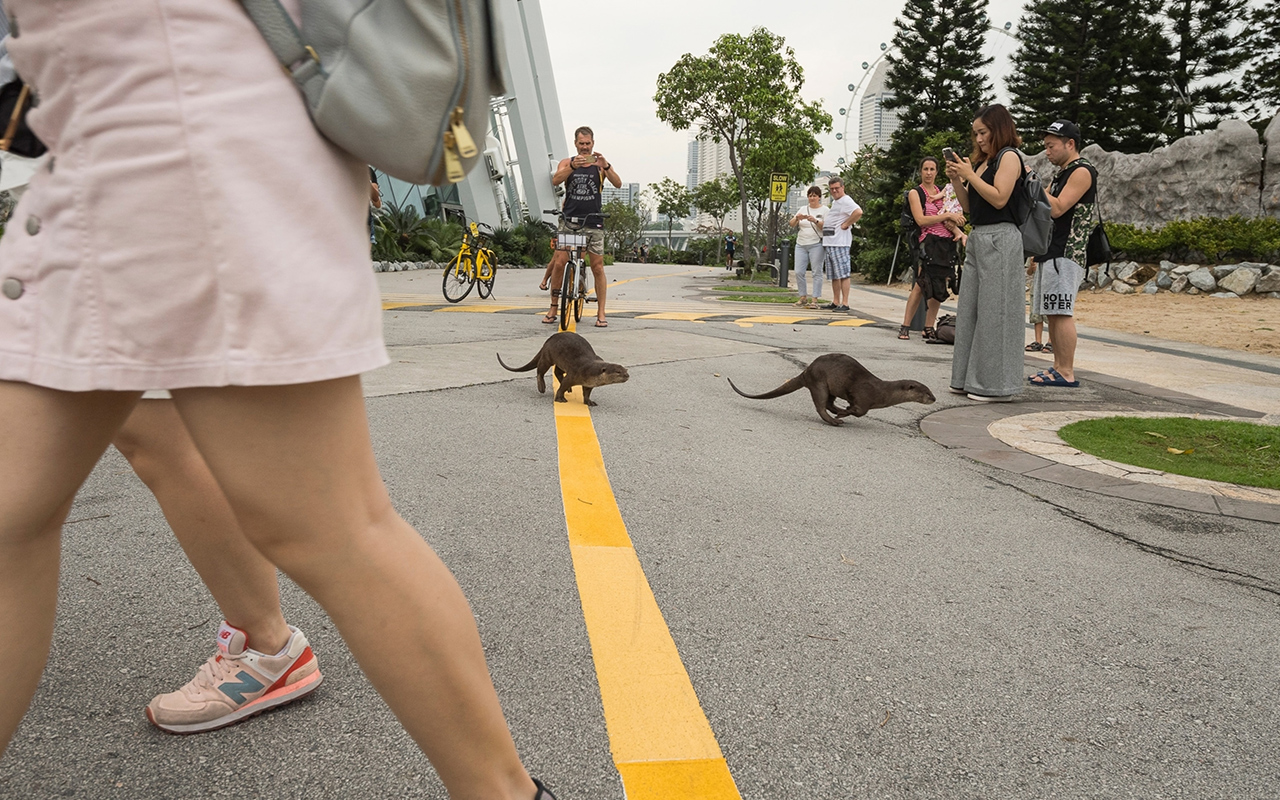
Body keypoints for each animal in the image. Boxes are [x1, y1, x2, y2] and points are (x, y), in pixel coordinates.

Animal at [494, 330, 629, 404]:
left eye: (625, 370)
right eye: (618, 372)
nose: (627, 375)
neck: (590, 370)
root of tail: (548, 340)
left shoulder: (589, 383)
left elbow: (586, 392)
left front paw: (589, 401)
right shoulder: (575, 373)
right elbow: (563, 385)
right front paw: (560, 398)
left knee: (557, 372)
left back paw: (568, 389)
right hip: (547, 355)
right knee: (540, 370)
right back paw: (542, 387)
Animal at [737, 350, 936, 424]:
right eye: (926, 392)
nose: (934, 398)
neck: (882, 392)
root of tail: (806, 371)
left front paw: (844, 410)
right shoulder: (863, 396)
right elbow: (860, 411)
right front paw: (844, 413)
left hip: (829, 387)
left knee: (828, 403)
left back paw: (837, 411)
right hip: (819, 383)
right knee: (820, 406)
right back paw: (835, 420)